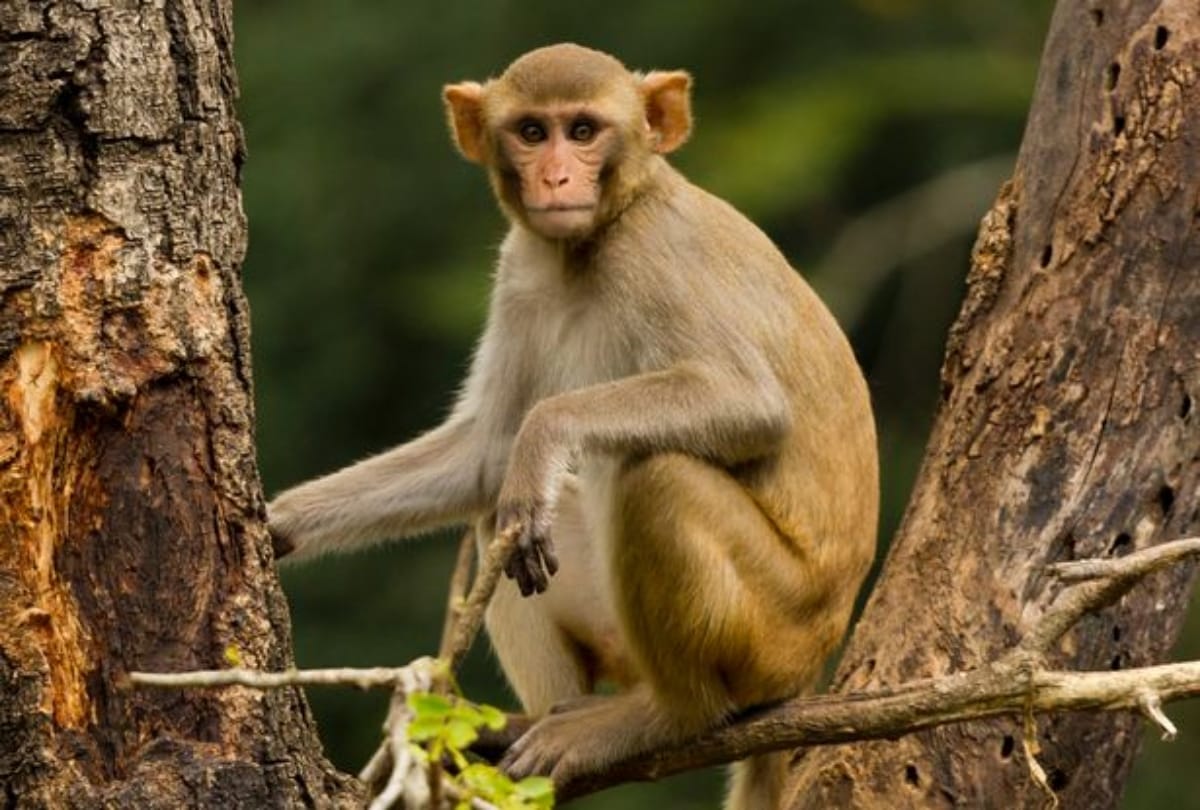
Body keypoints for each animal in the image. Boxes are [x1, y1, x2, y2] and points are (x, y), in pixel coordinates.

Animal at [267, 43, 878, 809]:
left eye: (583, 131)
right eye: (532, 132)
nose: (556, 177)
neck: (590, 243)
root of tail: (809, 666)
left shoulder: (654, 255)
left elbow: (747, 402)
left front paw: (544, 436)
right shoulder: (520, 268)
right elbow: (486, 456)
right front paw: (277, 523)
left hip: (772, 633)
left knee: (655, 473)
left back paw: (668, 715)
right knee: (497, 512)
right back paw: (530, 720)